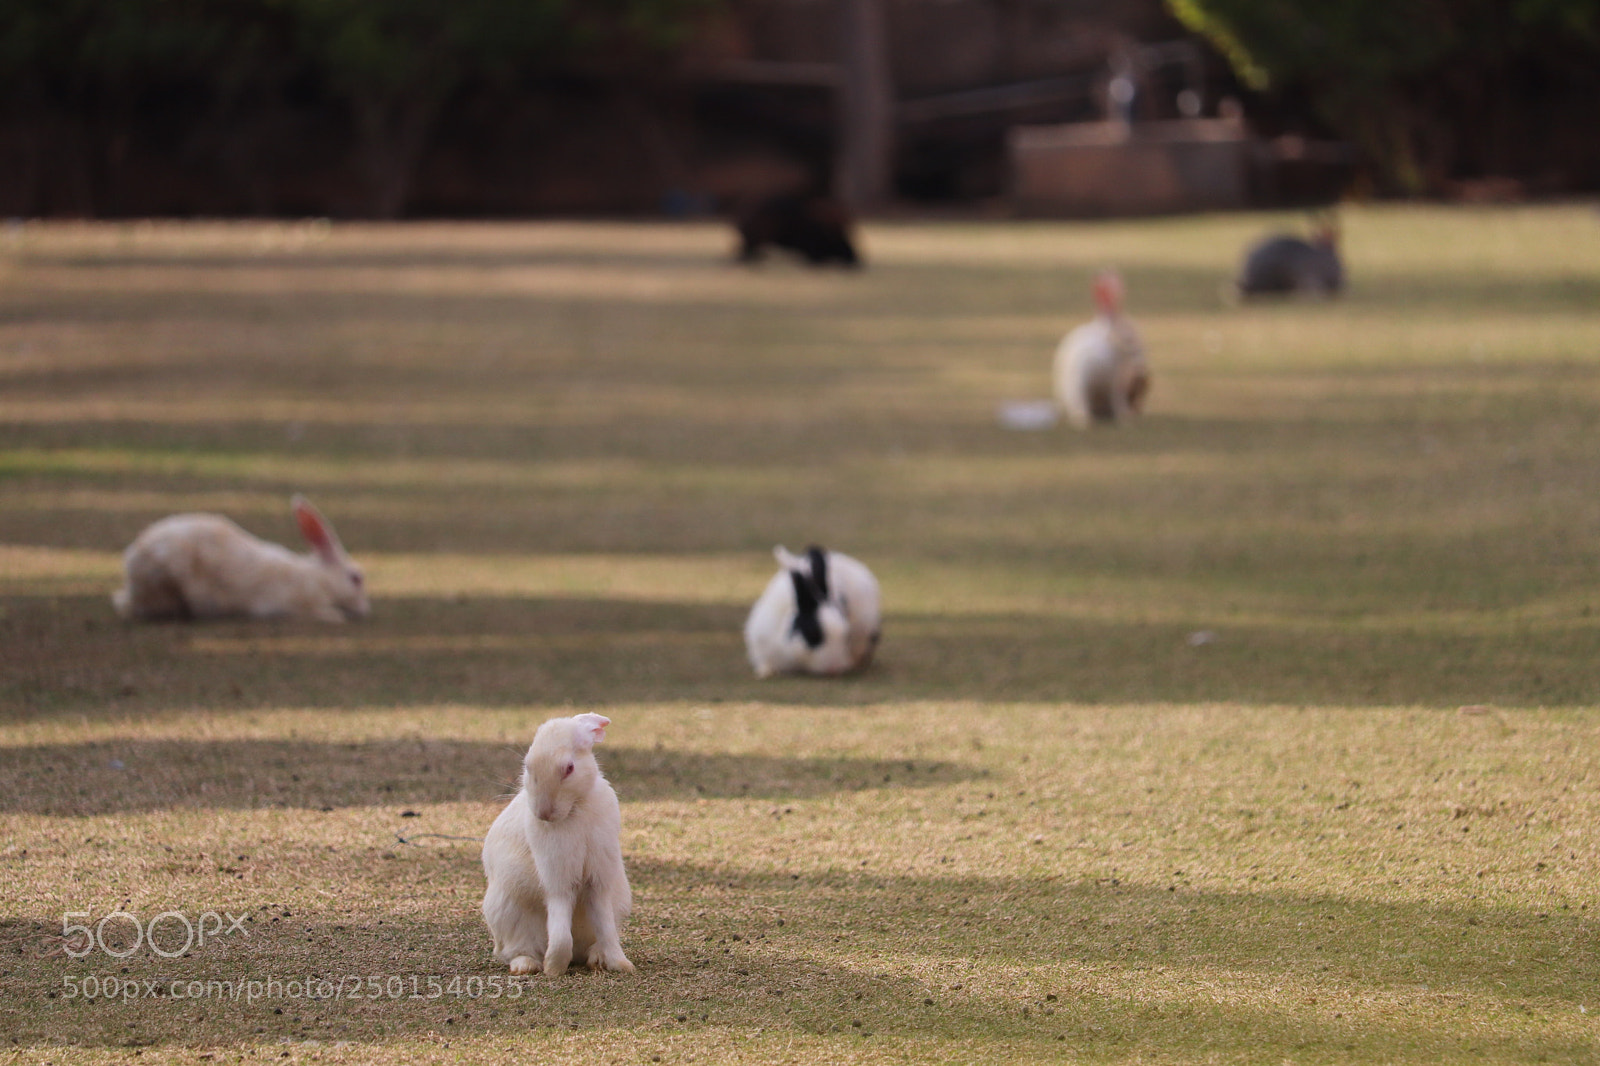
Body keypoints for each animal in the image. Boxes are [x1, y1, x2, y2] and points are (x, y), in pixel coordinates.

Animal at [481, 713, 634, 977]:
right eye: (527, 765)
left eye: (569, 768)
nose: (544, 813)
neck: (576, 807)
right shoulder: (558, 879)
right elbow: (561, 930)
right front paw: (553, 967)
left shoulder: (598, 881)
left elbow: (606, 929)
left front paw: (622, 965)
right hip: (506, 913)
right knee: (513, 950)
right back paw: (527, 965)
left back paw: (596, 958)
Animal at [1053, 270, 1150, 429]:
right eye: (1129, 338)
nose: (1142, 366)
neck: (1110, 339)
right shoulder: (1116, 381)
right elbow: (1117, 399)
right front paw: (1125, 417)